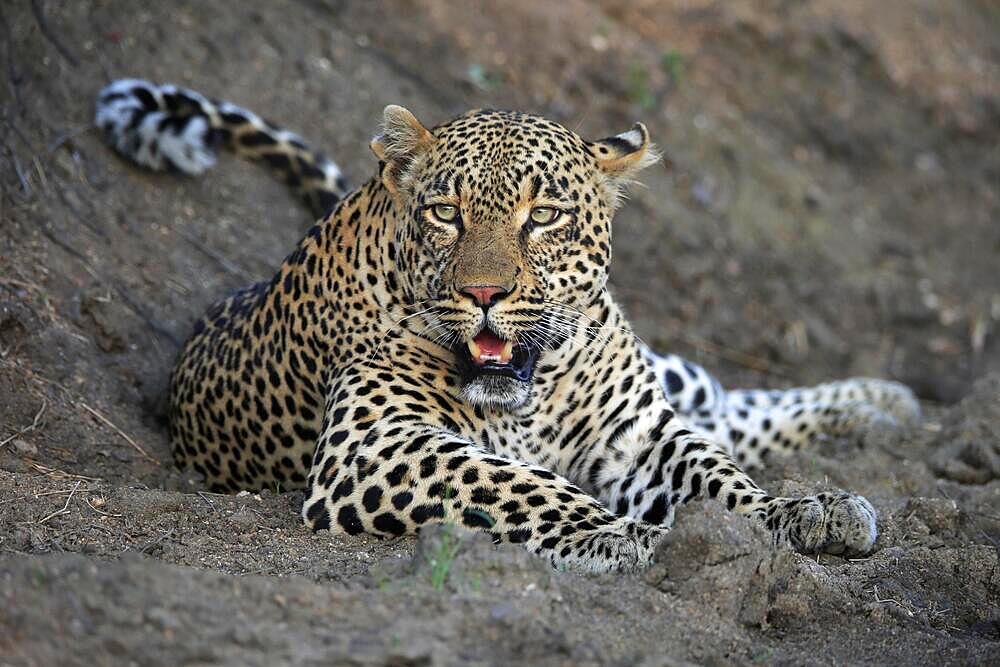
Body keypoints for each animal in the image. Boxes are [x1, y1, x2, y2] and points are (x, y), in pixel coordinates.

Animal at [97, 79, 916, 576]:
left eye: (544, 216)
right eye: (445, 212)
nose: (484, 291)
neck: (535, 390)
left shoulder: (637, 434)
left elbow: (716, 476)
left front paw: (793, 511)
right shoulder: (372, 446)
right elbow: (512, 479)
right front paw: (608, 533)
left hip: (666, 380)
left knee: (724, 404)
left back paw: (881, 412)